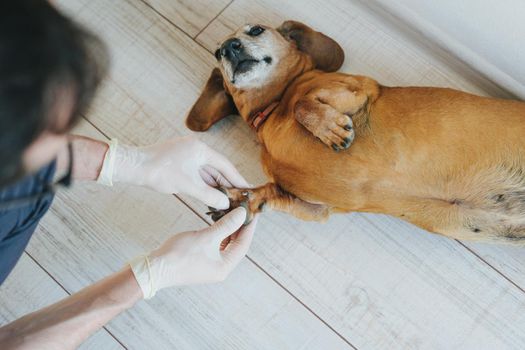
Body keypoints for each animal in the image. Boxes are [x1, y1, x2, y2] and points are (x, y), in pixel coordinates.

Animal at [184, 19, 524, 243]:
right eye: (216, 53)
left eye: (255, 30)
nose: (229, 48)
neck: (274, 109)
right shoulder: (317, 208)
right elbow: (272, 193)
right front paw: (242, 199)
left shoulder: (356, 91)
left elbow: (303, 104)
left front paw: (331, 129)